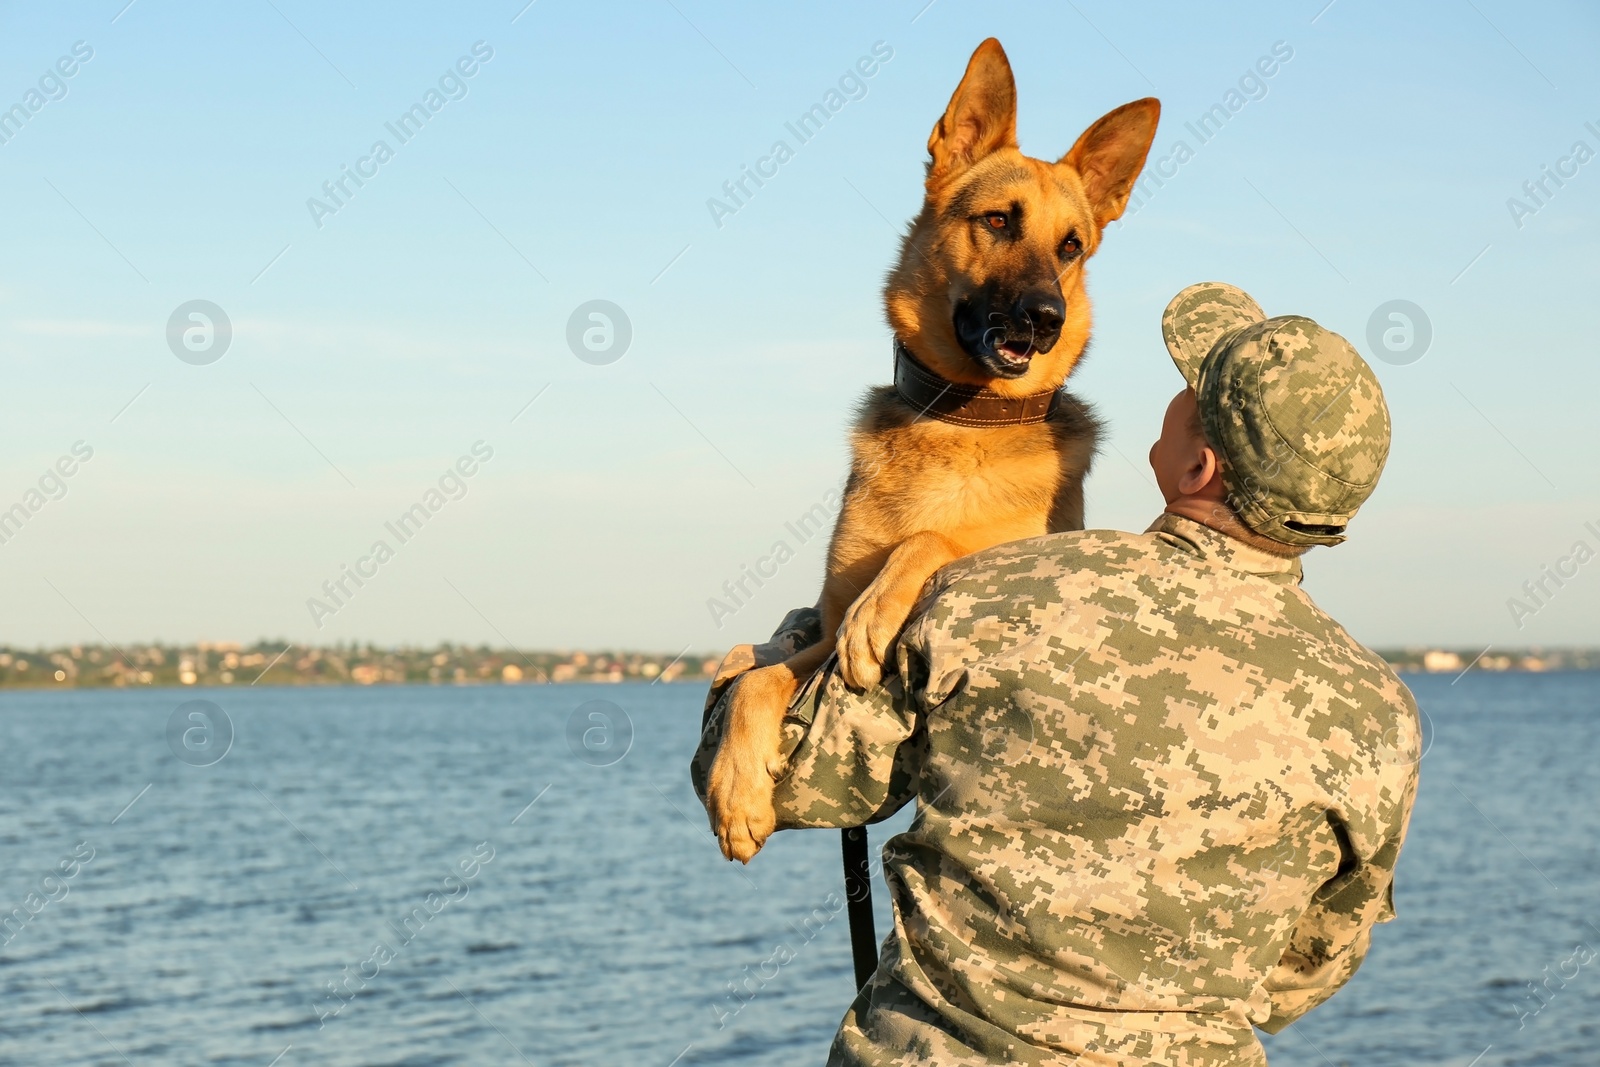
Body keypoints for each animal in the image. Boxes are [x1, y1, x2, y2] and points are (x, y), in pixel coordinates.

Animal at [707, 37, 1158, 863]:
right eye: (998, 219)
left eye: (1071, 246)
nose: (1047, 317)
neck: (966, 420)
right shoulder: (815, 648)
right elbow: (761, 679)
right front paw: (736, 789)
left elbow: (933, 538)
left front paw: (880, 607)